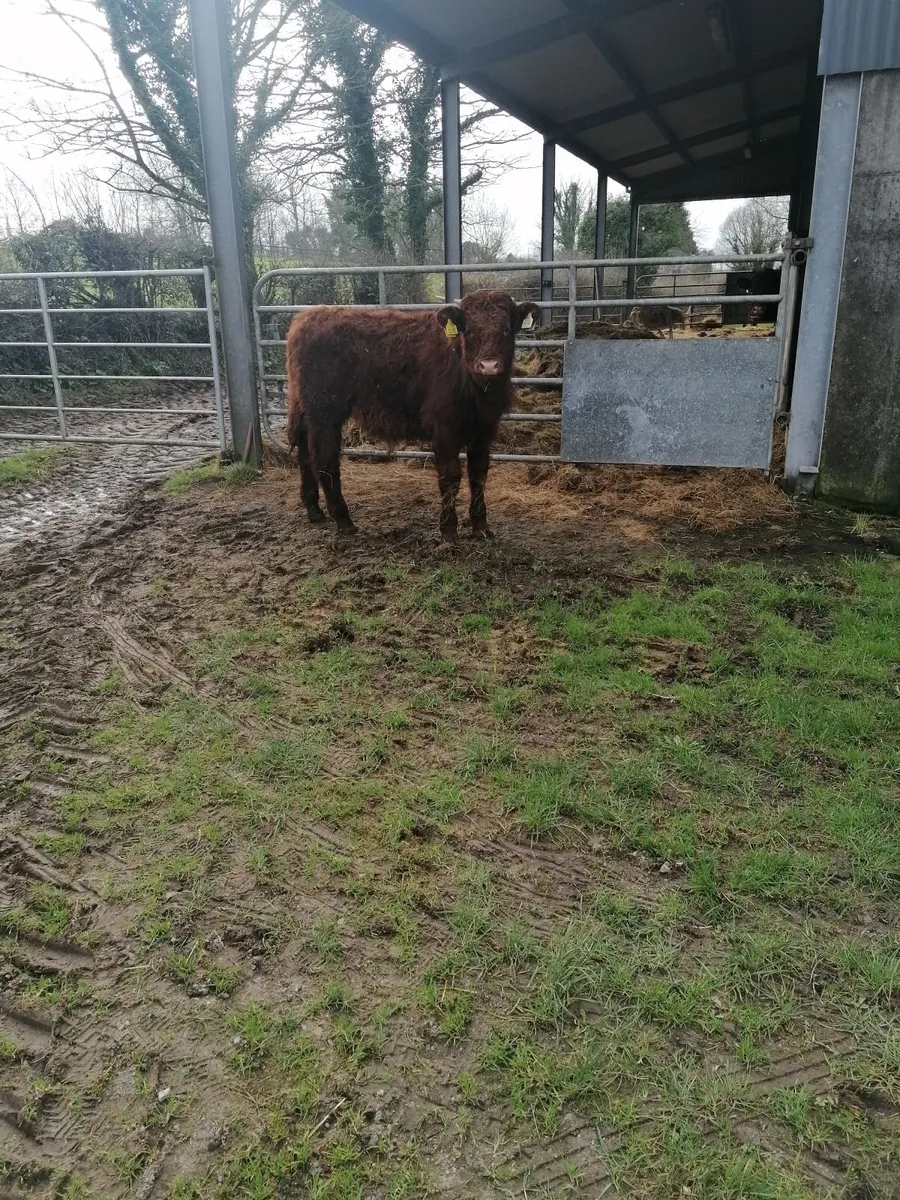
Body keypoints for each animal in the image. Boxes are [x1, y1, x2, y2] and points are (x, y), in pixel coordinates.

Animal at [285, 291, 541, 543]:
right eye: (469, 330)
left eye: (506, 330)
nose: (488, 365)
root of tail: (307, 317)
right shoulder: (444, 428)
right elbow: (451, 477)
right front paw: (449, 530)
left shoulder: (485, 429)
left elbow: (479, 474)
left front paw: (481, 526)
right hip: (324, 413)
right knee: (325, 458)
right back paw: (343, 519)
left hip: (306, 410)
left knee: (303, 451)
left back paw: (314, 508)